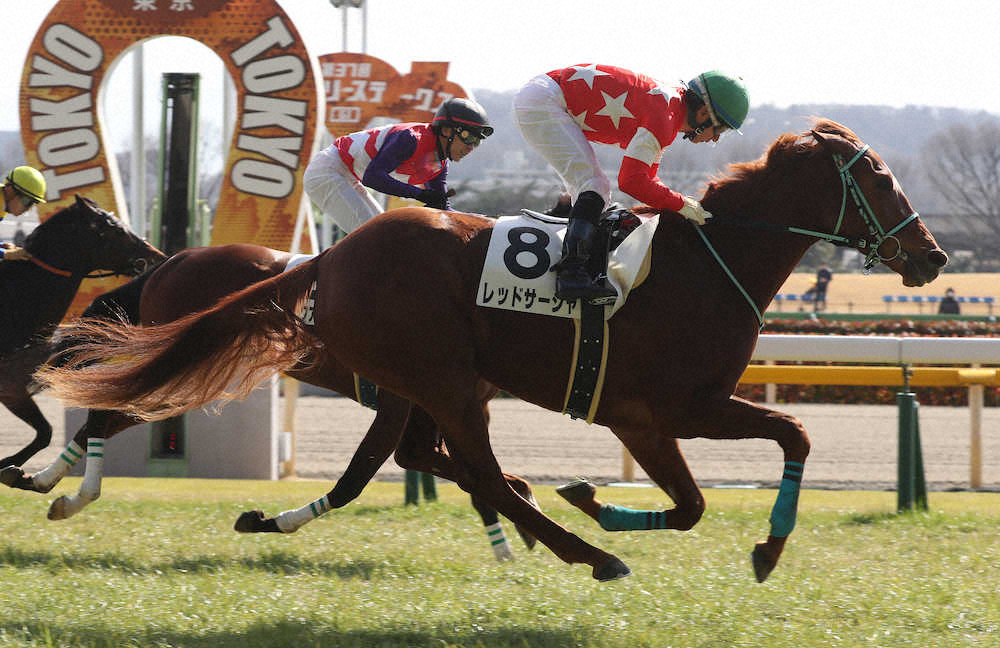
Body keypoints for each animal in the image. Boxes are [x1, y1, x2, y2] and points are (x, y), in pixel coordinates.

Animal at [0, 195, 165, 469]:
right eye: (116, 229)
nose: (157, 255)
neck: (17, 300)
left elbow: (45, 434)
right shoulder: (10, 386)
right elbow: (45, 432)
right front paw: (9, 465)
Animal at [4, 243, 537, 560]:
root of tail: (173, 261)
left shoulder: (447, 405)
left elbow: (471, 472)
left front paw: (519, 519)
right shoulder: (413, 403)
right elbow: (363, 477)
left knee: (107, 417)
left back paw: (46, 483)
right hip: (184, 367)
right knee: (102, 415)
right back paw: (71, 490)